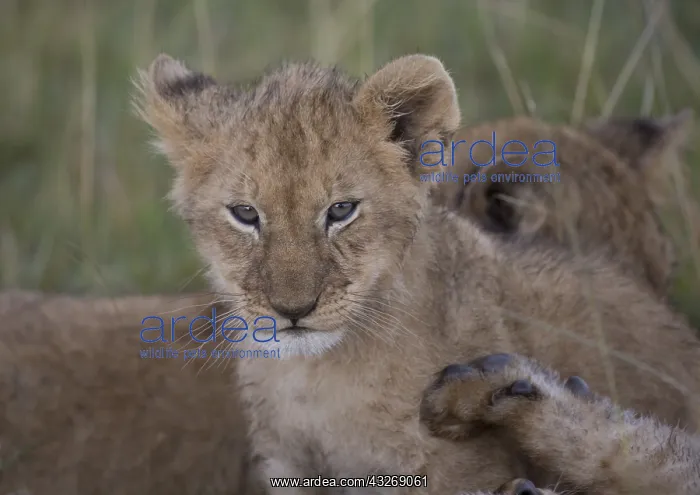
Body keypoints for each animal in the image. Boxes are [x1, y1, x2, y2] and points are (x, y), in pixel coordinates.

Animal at [134, 52, 700, 494]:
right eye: (245, 214)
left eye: (341, 211)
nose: (292, 311)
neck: (312, 380)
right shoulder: (289, 468)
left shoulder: (451, 473)